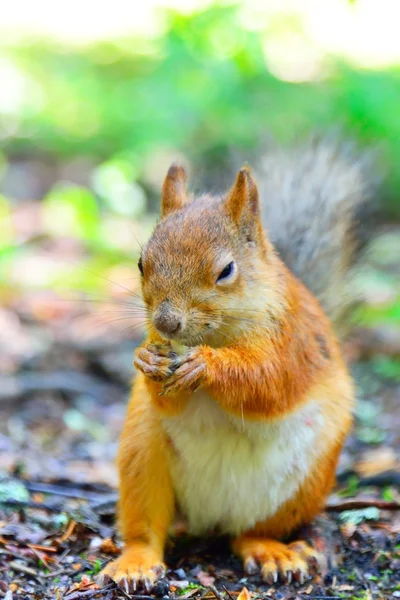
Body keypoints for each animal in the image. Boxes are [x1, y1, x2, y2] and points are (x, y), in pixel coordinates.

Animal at [99, 139, 376, 592]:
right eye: (141, 263)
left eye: (226, 270)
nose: (166, 322)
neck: (217, 334)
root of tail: (210, 519)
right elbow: (167, 397)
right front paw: (146, 357)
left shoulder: (291, 340)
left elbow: (269, 384)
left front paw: (207, 367)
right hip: (142, 455)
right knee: (147, 529)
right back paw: (136, 562)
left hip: (302, 484)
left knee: (250, 533)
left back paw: (271, 552)